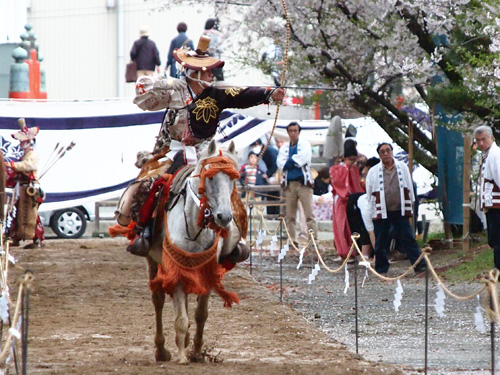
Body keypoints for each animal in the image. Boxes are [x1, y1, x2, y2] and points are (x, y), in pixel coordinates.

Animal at [146, 140, 247, 364]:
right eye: (210, 177)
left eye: (233, 179)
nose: (224, 217)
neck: (193, 227)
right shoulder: (175, 271)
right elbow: (180, 318)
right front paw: (182, 356)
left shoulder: (207, 269)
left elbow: (201, 314)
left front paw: (197, 351)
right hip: (152, 261)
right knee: (158, 301)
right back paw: (161, 350)